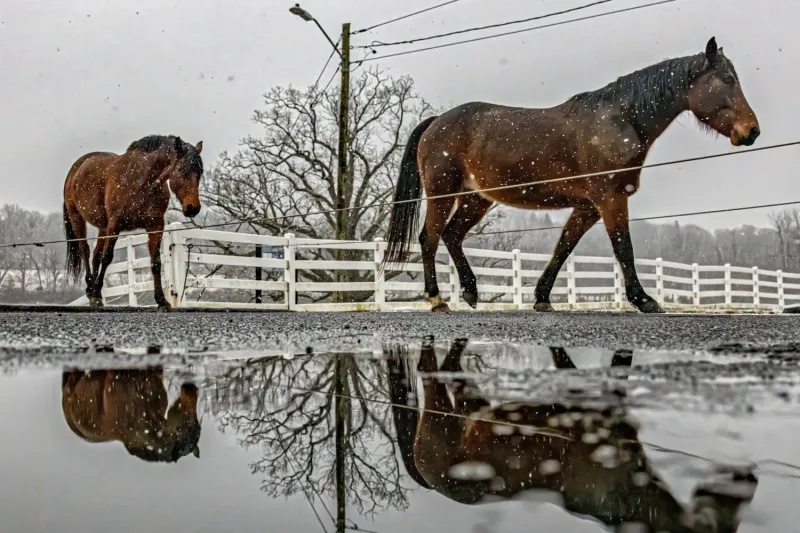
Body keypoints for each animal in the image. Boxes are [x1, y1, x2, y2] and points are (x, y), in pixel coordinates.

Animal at [63, 135, 204, 311]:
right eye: (181, 170)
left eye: (199, 173)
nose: (193, 208)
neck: (141, 182)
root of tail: (76, 168)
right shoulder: (115, 225)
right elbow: (107, 257)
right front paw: (95, 294)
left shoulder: (155, 226)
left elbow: (155, 261)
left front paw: (161, 301)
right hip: (77, 218)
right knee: (85, 251)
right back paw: (91, 289)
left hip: (103, 227)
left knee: (95, 255)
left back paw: (95, 292)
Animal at [383, 37, 759, 313]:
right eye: (727, 80)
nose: (752, 131)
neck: (619, 119)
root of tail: (437, 121)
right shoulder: (609, 199)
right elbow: (623, 248)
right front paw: (643, 300)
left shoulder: (588, 206)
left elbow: (563, 247)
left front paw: (542, 298)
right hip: (442, 193)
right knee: (430, 238)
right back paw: (436, 299)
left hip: (476, 199)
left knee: (452, 236)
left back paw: (471, 292)